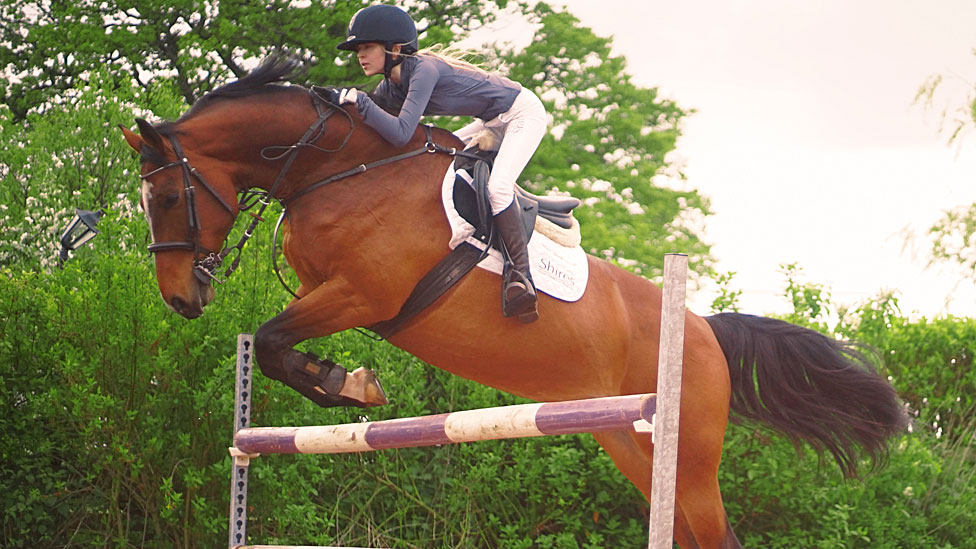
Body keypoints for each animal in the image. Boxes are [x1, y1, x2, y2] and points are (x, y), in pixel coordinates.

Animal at [122, 57, 908, 544]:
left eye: (167, 198)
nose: (180, 298)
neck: (341, 168)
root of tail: (705, 329)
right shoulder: (330, 292)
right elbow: (274, 345)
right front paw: (348, 383)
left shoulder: (360, 294)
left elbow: (273, 340)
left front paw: (350, 383)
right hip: (628, 439)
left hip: (686, 452)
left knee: (713, 532)